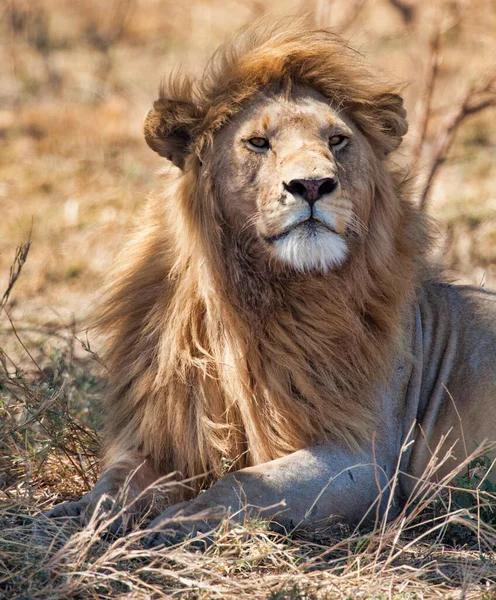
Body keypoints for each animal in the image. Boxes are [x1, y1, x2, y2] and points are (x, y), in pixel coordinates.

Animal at [47, 18, 496, 548]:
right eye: (258, 143)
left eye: (337, 140)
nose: (312, 185)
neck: (256, 297)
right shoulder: (168, 437)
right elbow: (117, 479)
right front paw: (80, 517)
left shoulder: (365, 461)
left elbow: (243, 483)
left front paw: (175, 525)